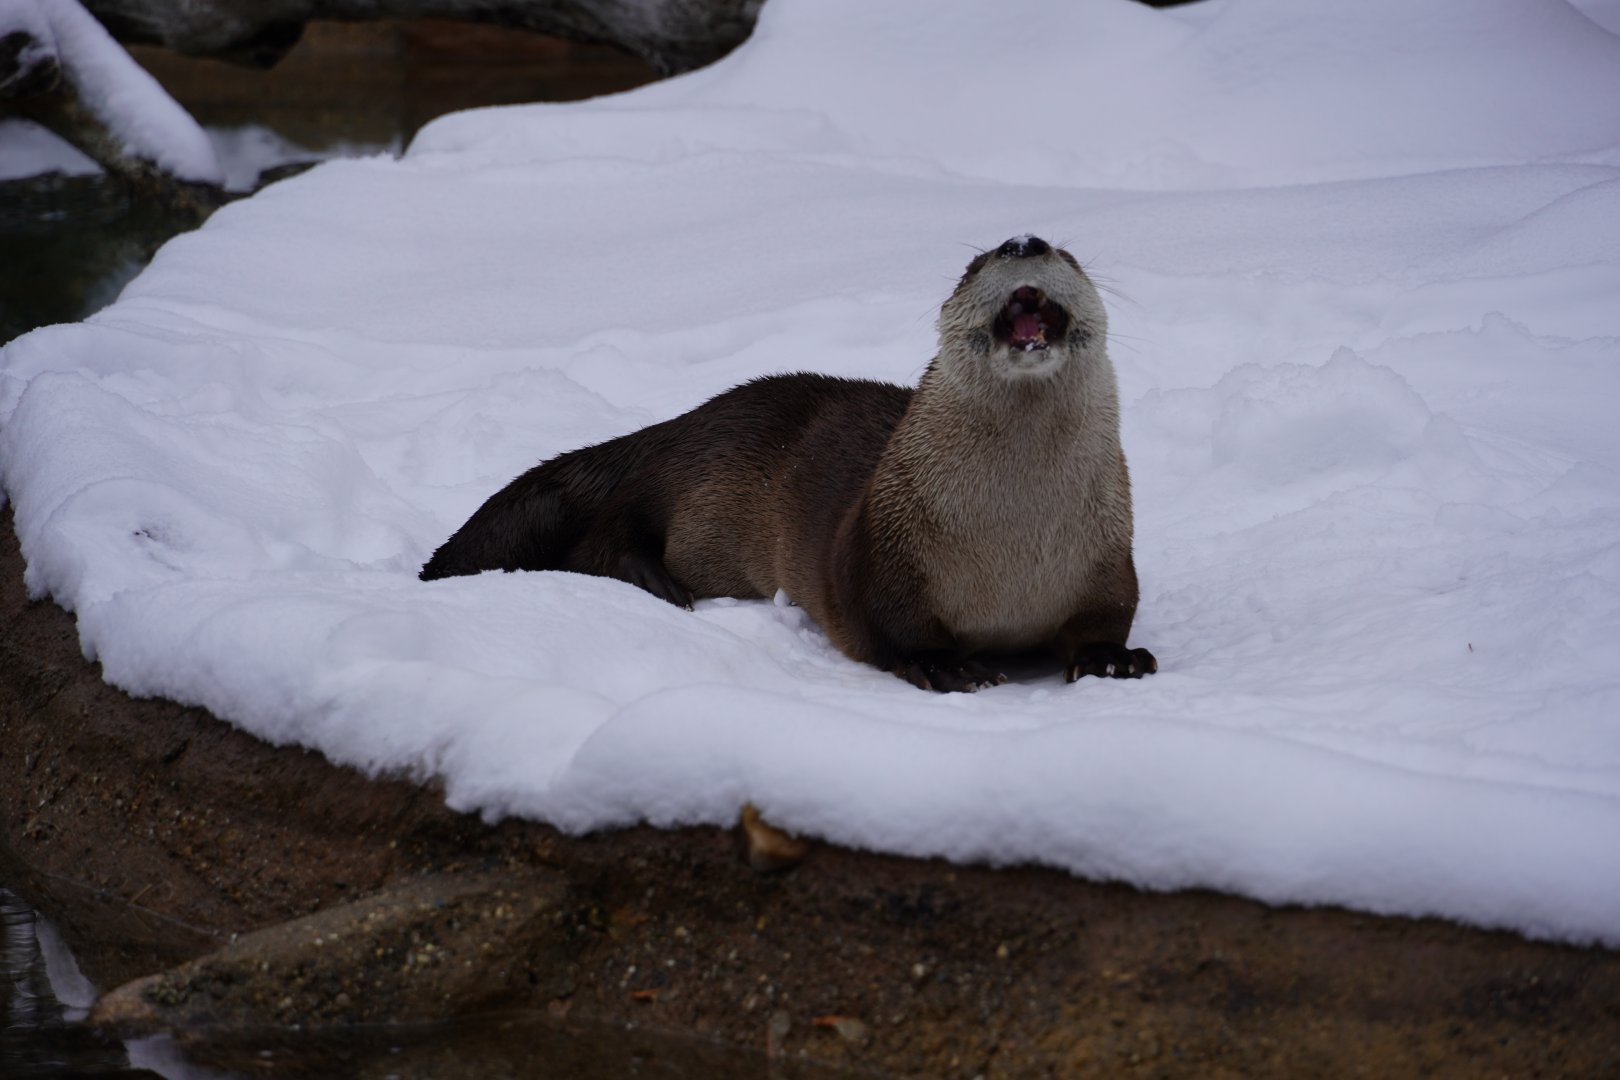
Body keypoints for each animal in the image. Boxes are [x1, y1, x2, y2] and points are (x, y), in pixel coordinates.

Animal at [420, 235, 1156, 691]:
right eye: (976, 264)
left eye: (1067, 255)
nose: (1024, 242)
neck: (1012, 540)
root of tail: (678, 425)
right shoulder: (879, 551)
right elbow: (889, 623)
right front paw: (947, 666)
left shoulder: (1107, 557)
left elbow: (1109, 614)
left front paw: (1113, 659)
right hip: (677, 477)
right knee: (607, 536)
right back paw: (660, 583)